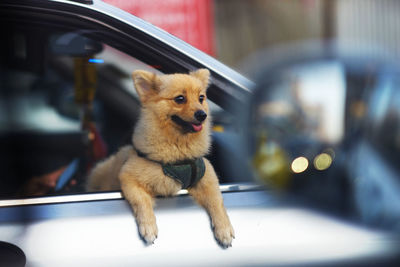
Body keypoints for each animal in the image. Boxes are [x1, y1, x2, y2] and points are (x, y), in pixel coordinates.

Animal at [86, 69, 233, 249]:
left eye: (201, 98)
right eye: (180, 99)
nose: (202, 115)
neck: (178, 150)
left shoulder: (207, 177)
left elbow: (217, 201)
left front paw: (224, 229)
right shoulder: (129, 178)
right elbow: (142, 201)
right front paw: (148, 227)